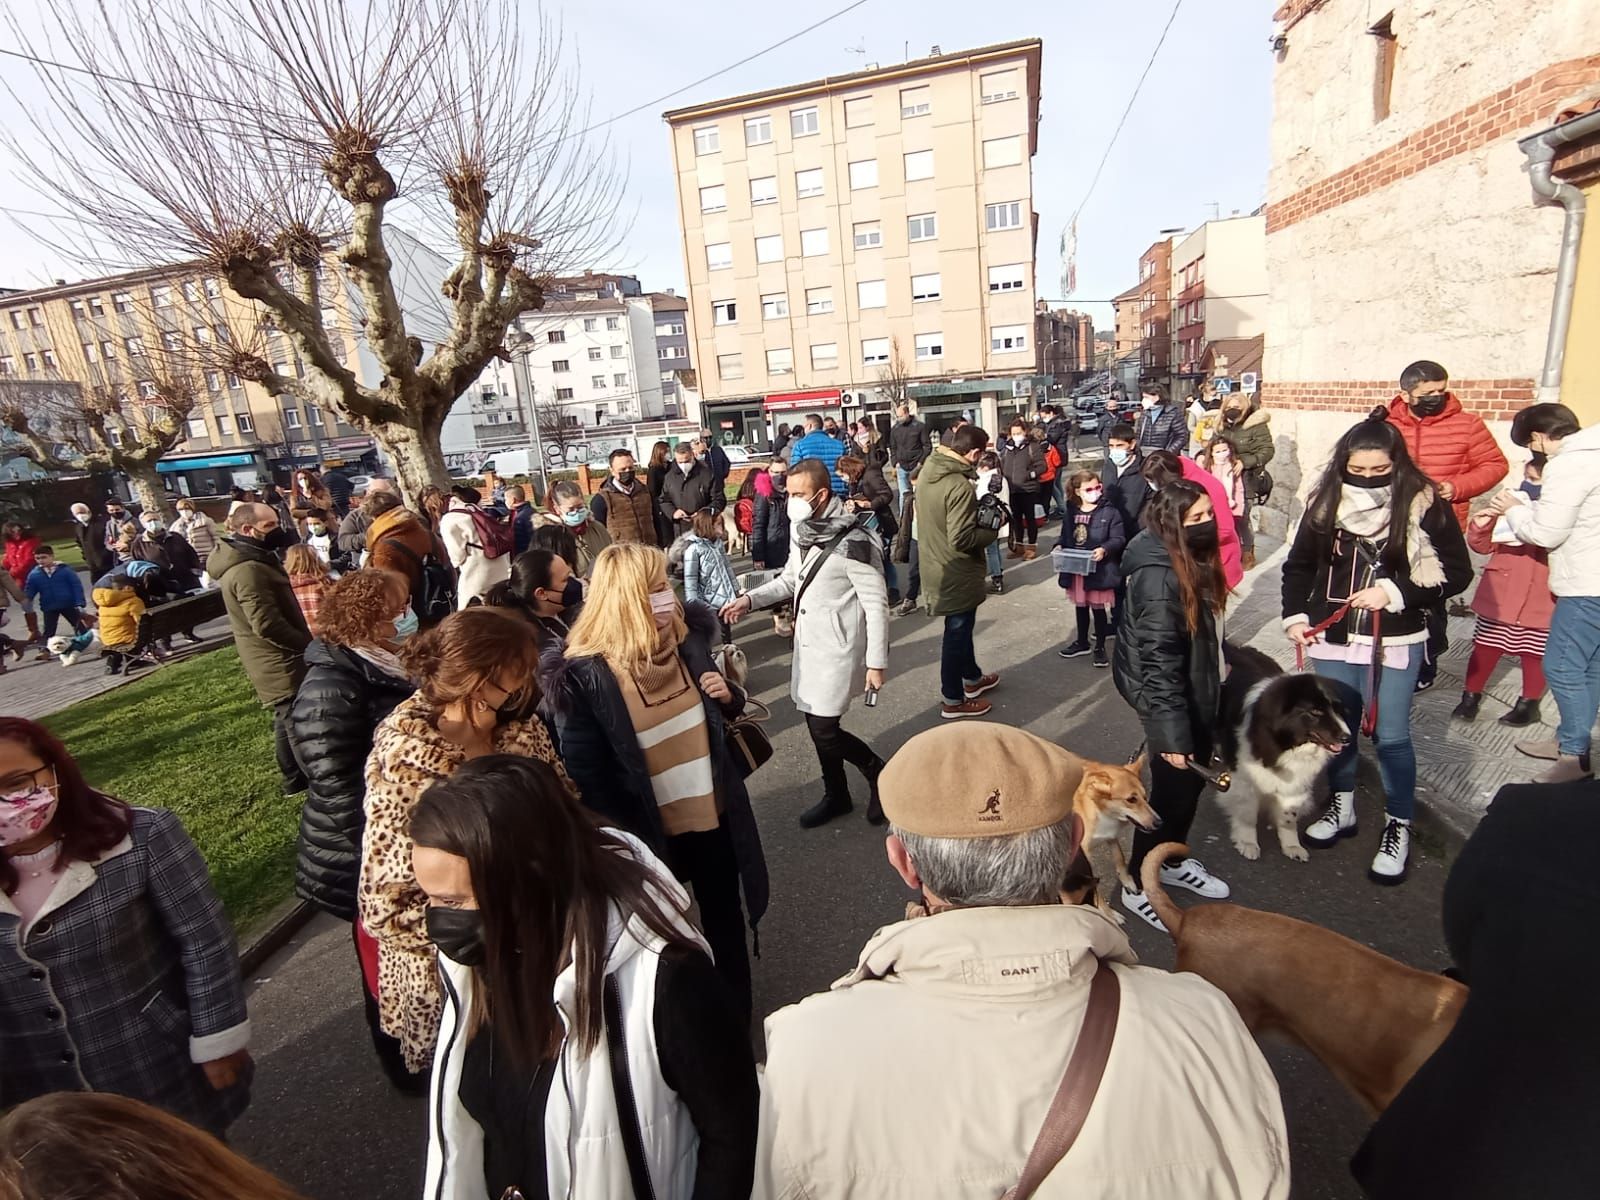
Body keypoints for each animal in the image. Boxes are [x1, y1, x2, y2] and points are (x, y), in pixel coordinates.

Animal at [1209, 649, 1350, 864]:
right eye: (1315, 711)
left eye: (1337, 709)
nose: (1347, 738)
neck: (1286, 743)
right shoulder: (1245, 778)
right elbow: (1247, 814)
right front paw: (1248, 843)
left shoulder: (1296, 782)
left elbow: (1288, 816)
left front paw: (1292, 846)